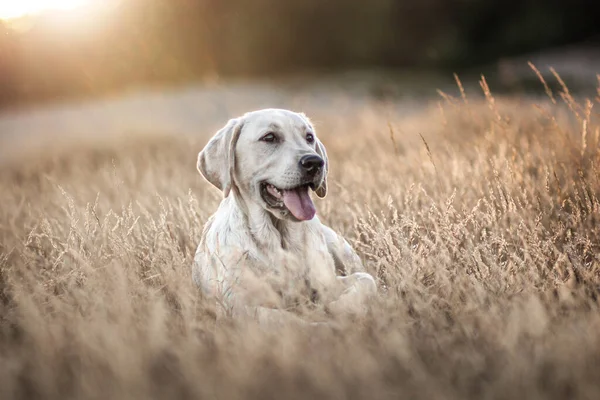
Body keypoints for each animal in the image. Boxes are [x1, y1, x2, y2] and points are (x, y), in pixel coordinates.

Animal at [192, 108, 376, 324]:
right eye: (269, 137)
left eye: (309, 137)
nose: (314, 162)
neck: (280, 235)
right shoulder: (237, 306)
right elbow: (288, 320)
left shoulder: (330, 284)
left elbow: (366, 282)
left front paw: (338, 309)